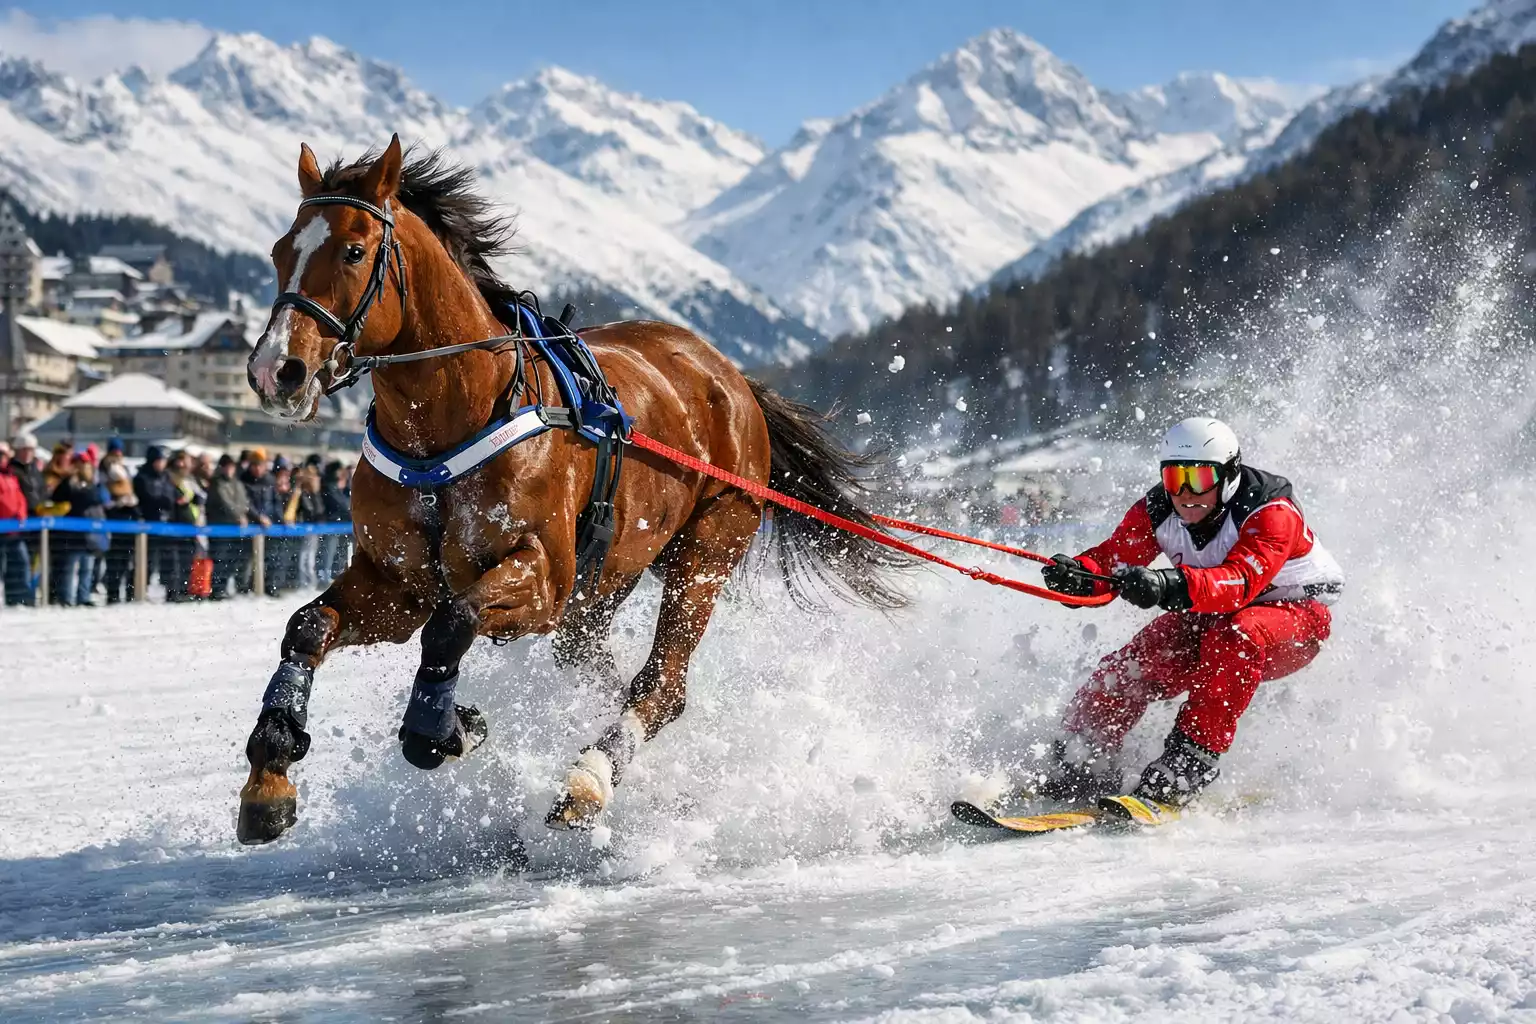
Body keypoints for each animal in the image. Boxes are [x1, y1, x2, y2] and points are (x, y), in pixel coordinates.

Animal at [238, 135, 909, 845]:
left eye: (353, 250)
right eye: (280, 251)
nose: (276, 370)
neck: (447, 434)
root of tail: (728, 376)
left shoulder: (544, 578)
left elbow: (452, 625)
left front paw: (442, 728)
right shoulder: (399, 585)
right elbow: (309, 625)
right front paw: (270, 773)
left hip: (706, 547)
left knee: (662, 683)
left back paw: (589, 776)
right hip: (606, 580)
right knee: (597, 666)